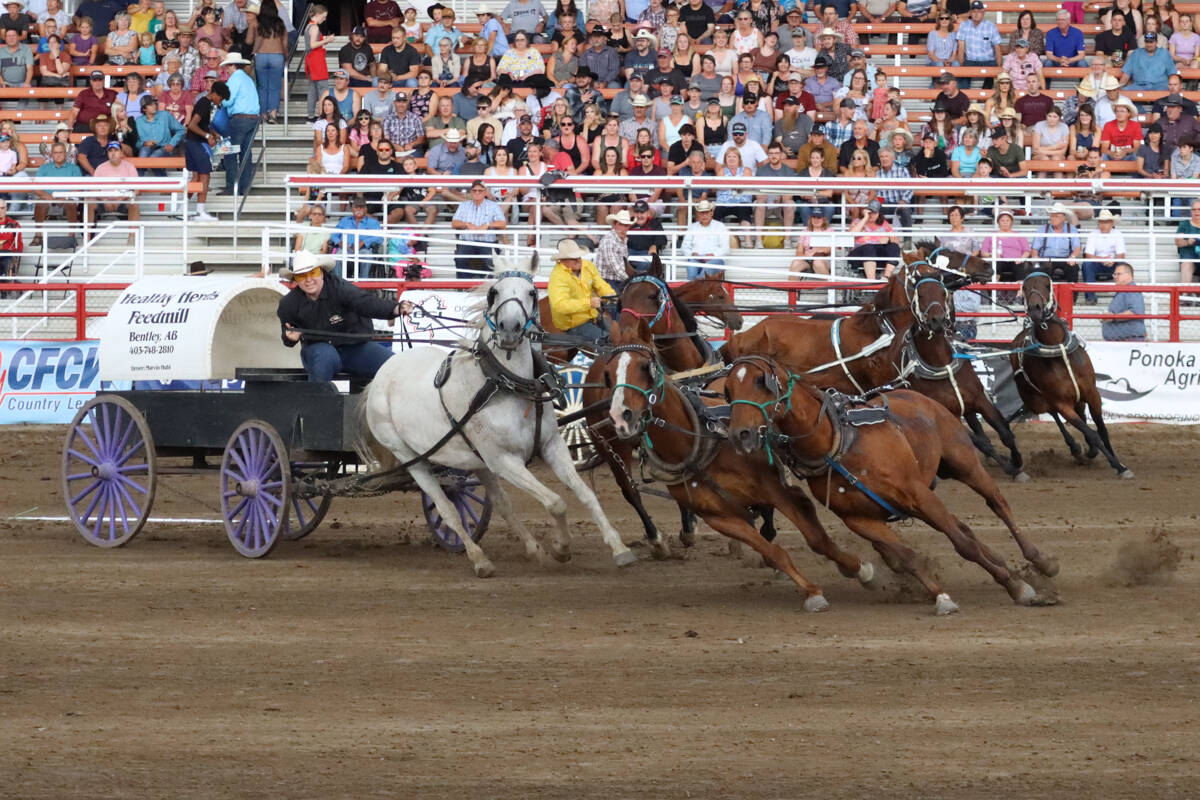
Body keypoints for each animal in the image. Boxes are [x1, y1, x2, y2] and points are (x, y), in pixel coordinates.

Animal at [357, 255, 633, 575]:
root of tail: (381, 374)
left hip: (474, 460)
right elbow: (556, 502)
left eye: (531, 292)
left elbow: (585, 495)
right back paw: (480, 559)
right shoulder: (504, 460)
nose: (510, 328)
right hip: (413, 458)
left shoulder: (550, 446)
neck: (503, 383)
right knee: (448, 510)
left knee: (500, 503)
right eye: (494, 292)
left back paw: (532, 549)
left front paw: (619, 548)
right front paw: (561, 548)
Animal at [604, 319, 878, 614]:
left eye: (645, 367)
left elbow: (818, 539)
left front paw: (861, 570)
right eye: (607, 374)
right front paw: (811, 591)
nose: (621, 417)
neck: (699, 440)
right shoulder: (719, 517)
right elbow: (772, 552)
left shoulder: (778, 490)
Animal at [720, 359, 1060, 618]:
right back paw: (1002, 561)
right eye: (728, 390)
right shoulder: (860, 519)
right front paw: (942, 597)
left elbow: (964, 545)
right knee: (962, 525)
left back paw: (1041, 561)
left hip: (964, 466)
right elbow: (907, 557)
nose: (740, 434)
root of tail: (919, 396)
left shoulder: (918, 494)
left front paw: (1017, 587)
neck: (838, 444)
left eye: (761, 382)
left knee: (997, 505)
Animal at [1008, 272, 1128, 479]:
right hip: (1036, 399)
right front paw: (1117, 466)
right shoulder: (1062, 404)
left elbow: (1102, 430)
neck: (1058, 351)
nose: (1035, 309)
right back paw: (1076, 447)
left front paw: (1117, 461)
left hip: (1075, 398)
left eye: (1047, 285)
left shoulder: (1092, 394)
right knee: (1052, 413)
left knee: (1078, 413)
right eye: (1024, 287)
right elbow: (1092, 433)